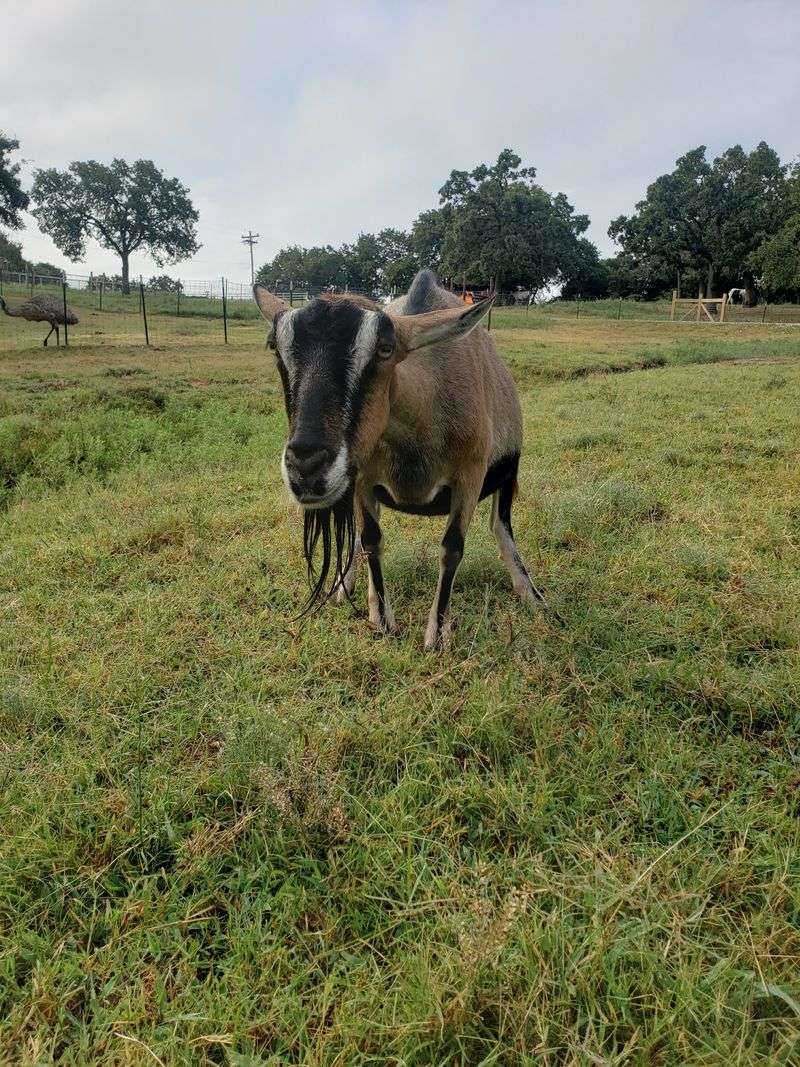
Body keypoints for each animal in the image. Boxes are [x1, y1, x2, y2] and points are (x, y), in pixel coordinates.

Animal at [253, 268, 546, 649]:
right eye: (275, 346)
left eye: (385, 349)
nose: (306, 468)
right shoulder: (362, 479)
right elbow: (370, 540)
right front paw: (383, 622)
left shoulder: (470, 477)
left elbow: (453, 547)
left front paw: (436, 636)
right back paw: (343, 587)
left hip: (507, 474)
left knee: (500, 525)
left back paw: (531, 594)